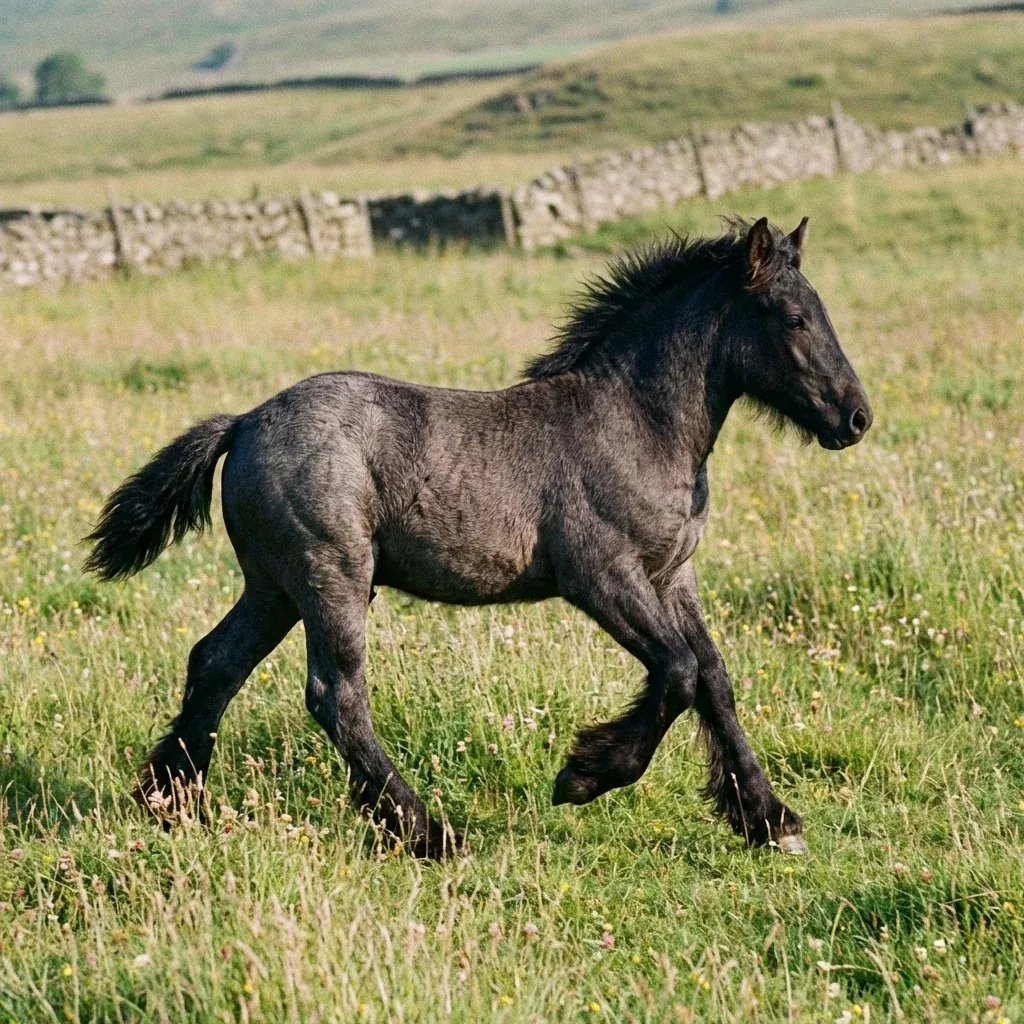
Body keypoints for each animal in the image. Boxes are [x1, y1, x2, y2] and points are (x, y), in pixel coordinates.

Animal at [85, 217, 872, 858]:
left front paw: (770, 819)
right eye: (793, 317)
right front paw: (583, 775)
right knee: (334, 693)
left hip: (274, 587)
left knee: (215, 663)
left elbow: (713, 678)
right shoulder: (602, 575)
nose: (856, 417)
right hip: (330, 578)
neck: (636, 421)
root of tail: (246, 422)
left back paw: (169, 804)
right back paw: (429, 833)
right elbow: (677, 672)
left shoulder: (673, 574)